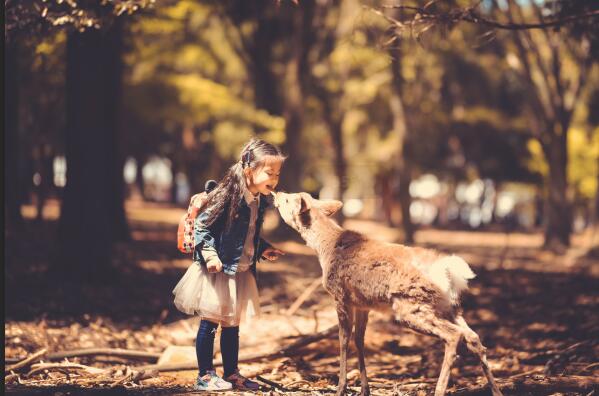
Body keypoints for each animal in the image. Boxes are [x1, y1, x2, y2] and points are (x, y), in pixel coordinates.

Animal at [272, 192, 502, 396]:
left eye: (288, 199)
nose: (277, 193)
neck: (325, 249)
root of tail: (449, 272)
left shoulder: (340, 295)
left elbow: (343, 339)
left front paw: (340, 388)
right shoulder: (362, 304)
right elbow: (359, 339)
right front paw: (364, 389)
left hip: (411, 306)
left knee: (454, 336)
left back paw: (439, 390)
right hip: (449, 307)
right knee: (473, 337)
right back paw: (496, 390)